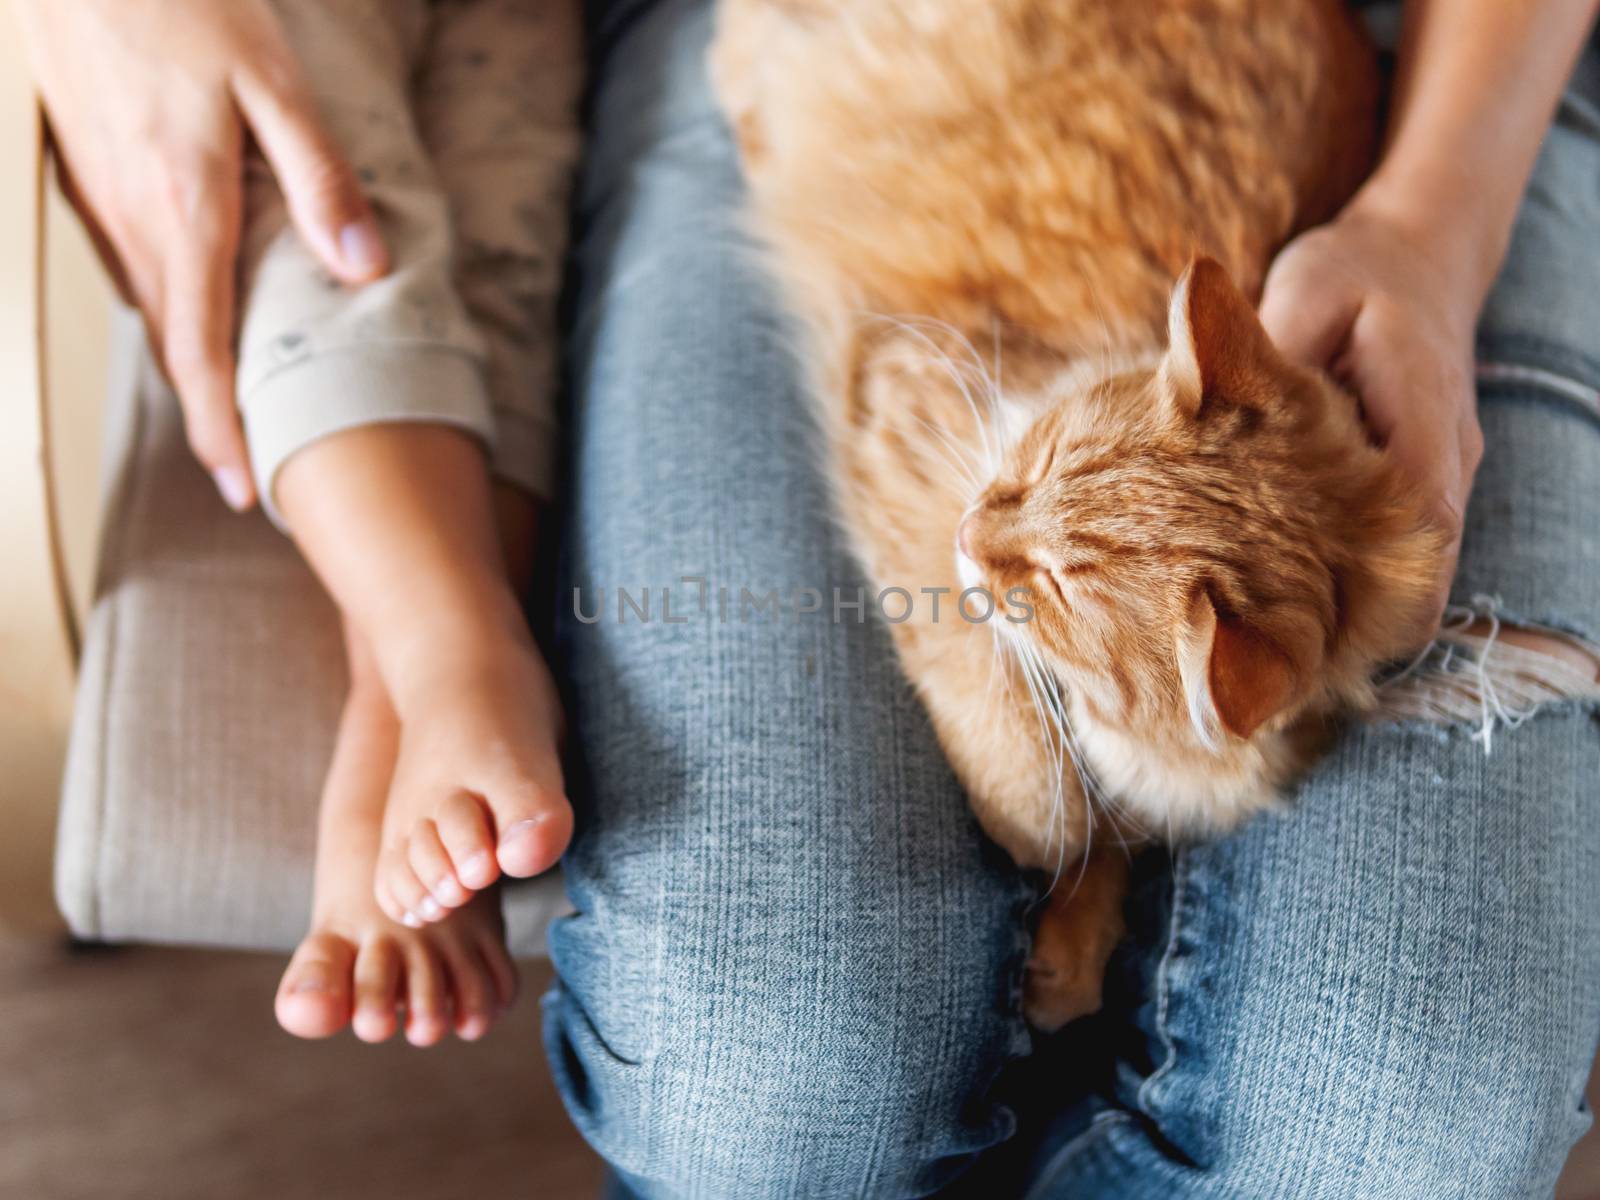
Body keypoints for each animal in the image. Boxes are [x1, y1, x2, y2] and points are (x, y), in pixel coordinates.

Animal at [710, 2, 1440, 1036]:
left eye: (1057, 590)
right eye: (1041, 464)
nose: (972, 534)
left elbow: (1115, 830)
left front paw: (1069, 950)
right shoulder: (911, 421)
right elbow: (1039, 780)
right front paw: (1039, 846)